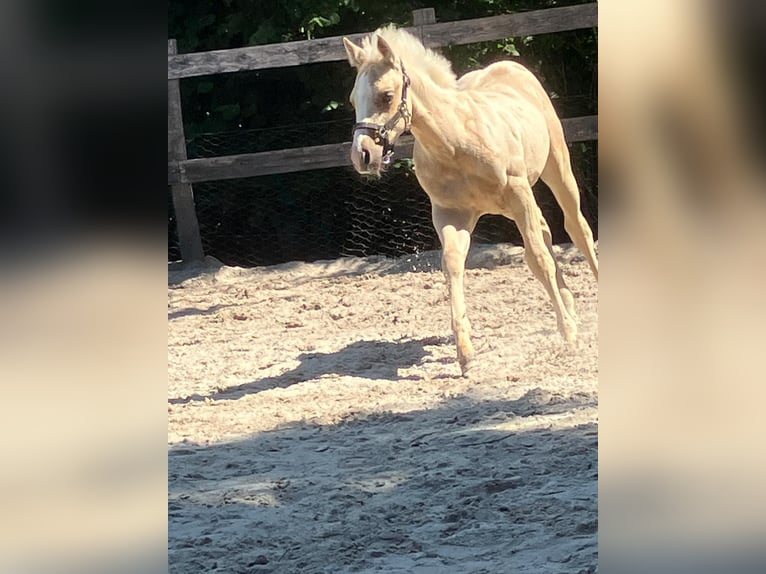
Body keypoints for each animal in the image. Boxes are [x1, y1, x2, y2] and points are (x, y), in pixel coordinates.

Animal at [343, 25, 598, 376]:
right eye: (353, 99)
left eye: (387, 95)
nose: (363, 156)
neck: (454, 144)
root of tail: (511, 66)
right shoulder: (450, 214)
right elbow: (452, 266)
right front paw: (465, 354)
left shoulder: (518, 192)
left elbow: (540, 258)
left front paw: (570, 336)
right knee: (544, 234)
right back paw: (569, 307)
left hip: (555, 169)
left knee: (576, 229)